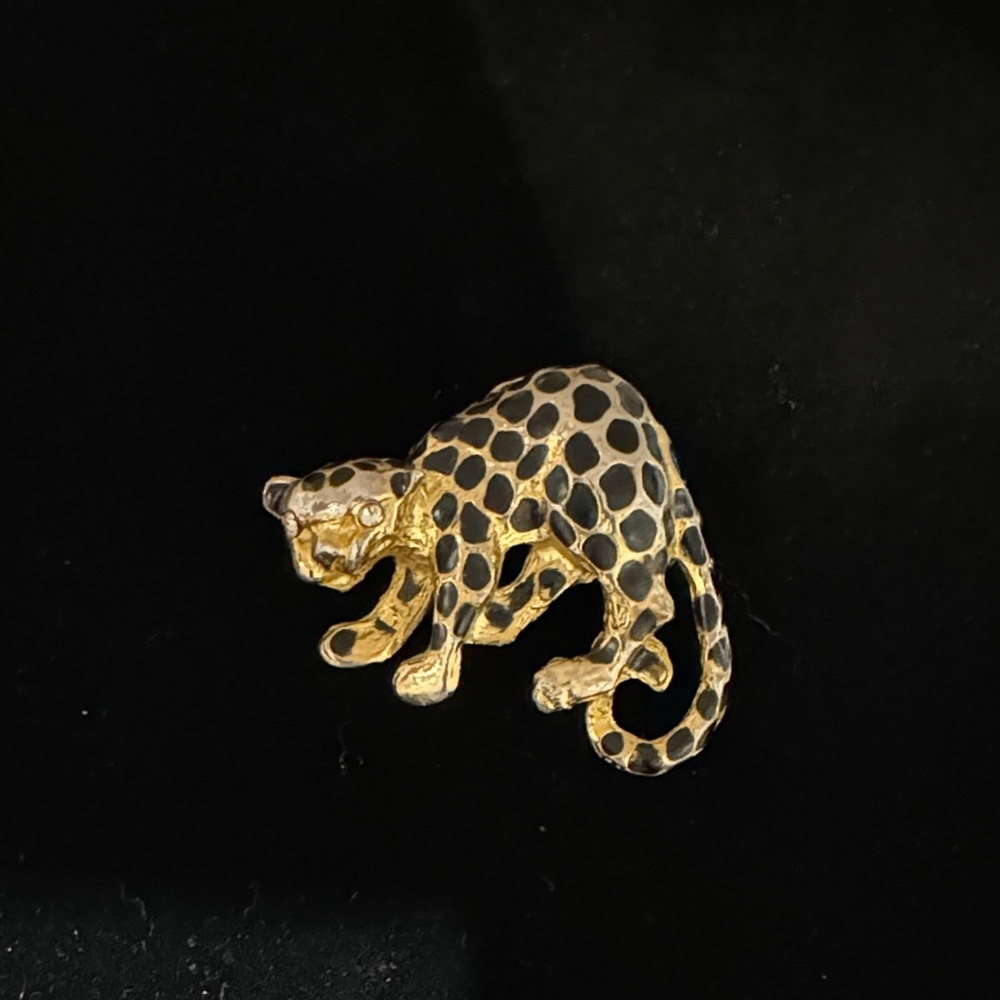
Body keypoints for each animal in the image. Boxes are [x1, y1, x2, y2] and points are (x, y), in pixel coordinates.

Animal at [262, 364, 731, 775]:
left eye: (368, 514)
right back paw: (497, 618)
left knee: (649, 600)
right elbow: (402, 597)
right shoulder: (419, 561)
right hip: (561, 523)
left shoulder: (470, 549)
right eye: (295, 523)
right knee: (555, 567)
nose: (325, 556)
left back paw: (580, 673)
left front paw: (429, 676)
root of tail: (655, 435)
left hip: (599, 510)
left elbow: (448, 611)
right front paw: (367, 638)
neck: (416, 515)